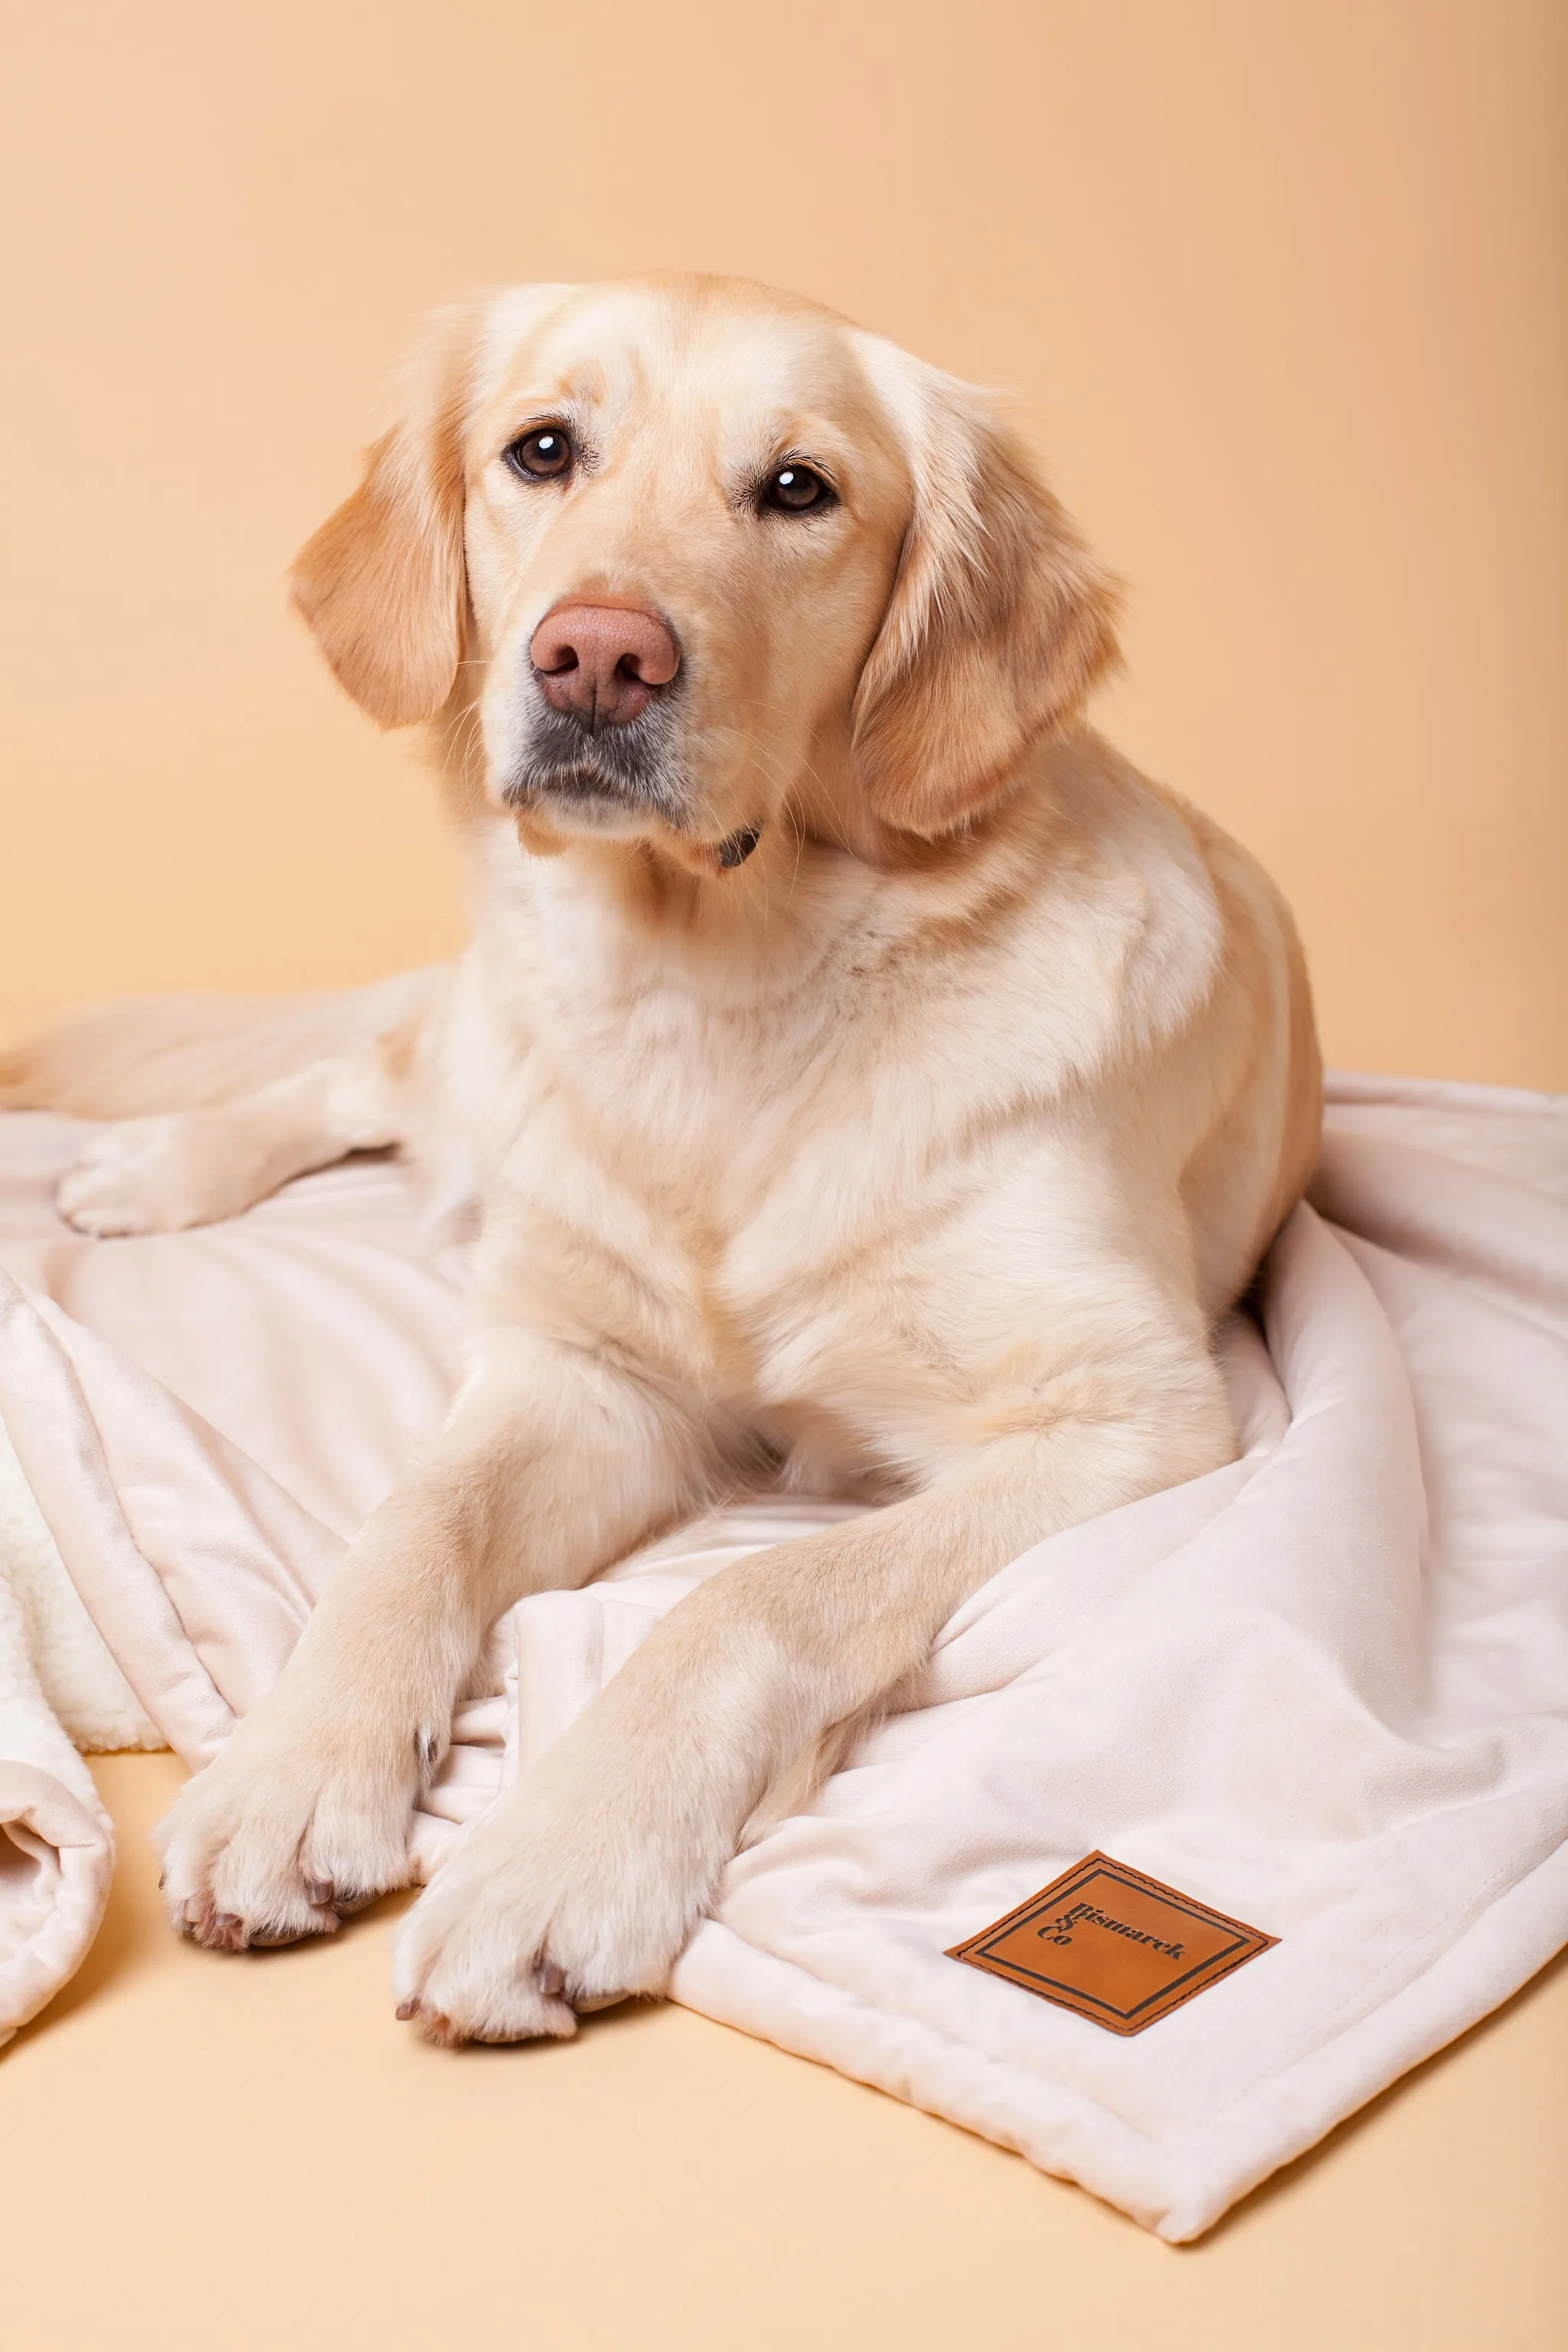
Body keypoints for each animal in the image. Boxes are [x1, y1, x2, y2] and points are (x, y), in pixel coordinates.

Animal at [6, 275, 1316, 2041]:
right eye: (542, 450)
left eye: (799, 489)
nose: (598, 658)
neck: (720, 994)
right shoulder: (585, 1372)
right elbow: (410, 1527)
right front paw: (291, 1771)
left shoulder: (1132, 1412)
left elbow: (750, 1596)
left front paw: (562, 1861)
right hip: (478, 1061)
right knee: (365, 1067)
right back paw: (152, 1168)